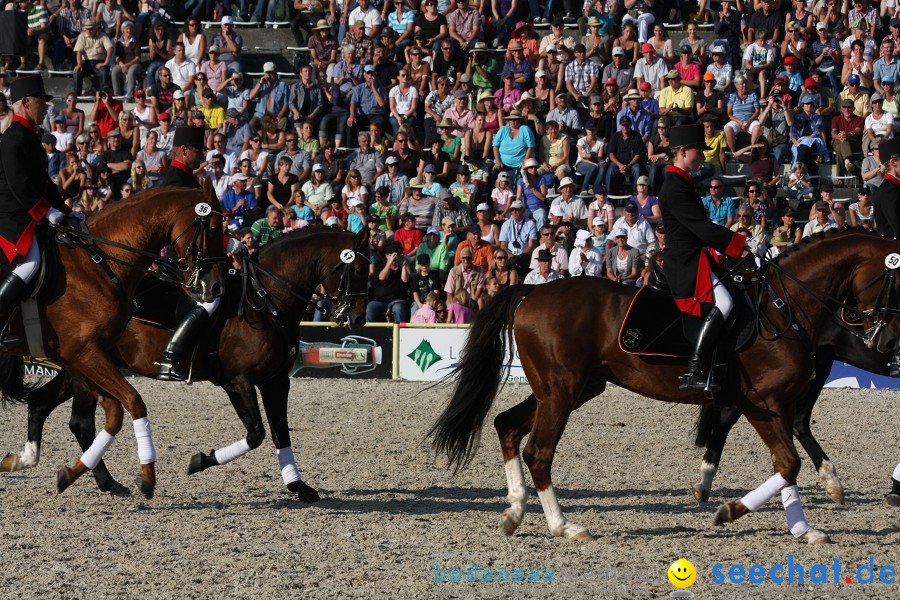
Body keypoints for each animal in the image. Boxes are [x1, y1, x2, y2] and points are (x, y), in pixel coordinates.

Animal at [0, 185, 225, 500]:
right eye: (214, 228)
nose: (216, 287)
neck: (96, 264)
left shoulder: (83, 355)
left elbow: (113, 411)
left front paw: (57, 469)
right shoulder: (84, 353)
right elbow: (132, 402)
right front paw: (147, 476)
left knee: (44, 403)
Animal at [0, 226, 370, 502]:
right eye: (357, 268)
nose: (358, 318)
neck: (266, 301)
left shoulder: (277, 381)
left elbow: (281, 433)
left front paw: (298, 486)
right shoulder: (238, 381)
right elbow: (257, 434)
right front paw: (200, 461)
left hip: (83, 367)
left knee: (42, 403)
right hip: (87, 366)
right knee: (79, 422)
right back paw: (102, 480)